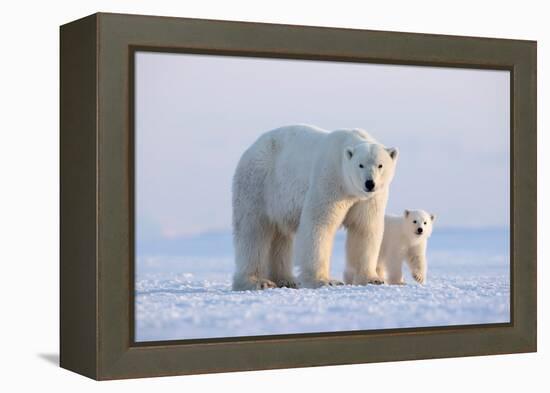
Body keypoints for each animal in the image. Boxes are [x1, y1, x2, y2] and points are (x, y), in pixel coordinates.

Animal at [231, 124, 398, 290]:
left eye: (380, 165)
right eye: (360, 165)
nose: (370, 183)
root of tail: (251, 148)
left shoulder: (368, 199)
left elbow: (365, 228)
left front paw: (373, 279)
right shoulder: (330, 180)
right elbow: (319, 224)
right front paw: (324, 280)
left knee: (280, 236)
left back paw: (286, 280)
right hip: (258, 184)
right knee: (252, 231)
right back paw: (257, 281)